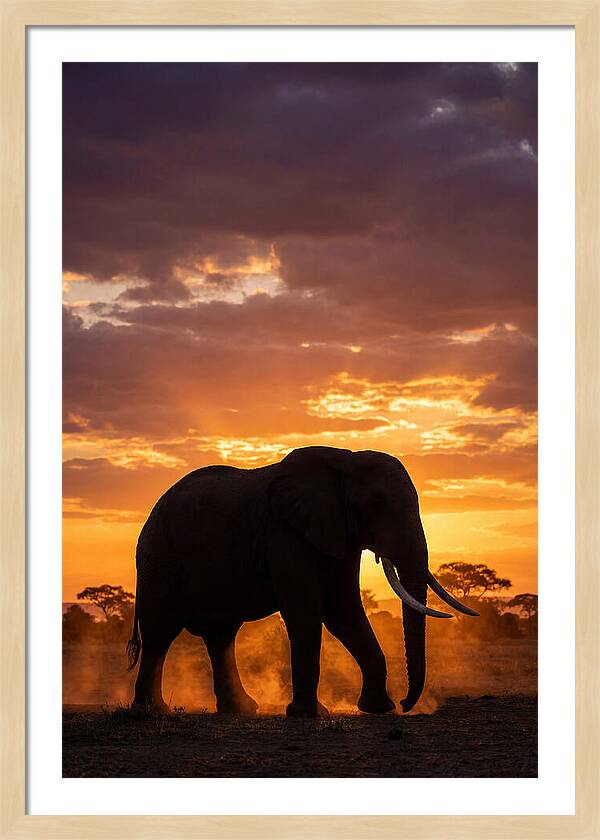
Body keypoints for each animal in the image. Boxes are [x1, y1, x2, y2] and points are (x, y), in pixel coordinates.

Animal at [127, 445, 478, 717]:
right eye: (376, 505)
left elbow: (343, 611)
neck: (345, 460)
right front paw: (308, 714)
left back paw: (241, 709)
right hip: (159, 556)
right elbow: (308, 612)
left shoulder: (338, 533)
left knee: (220, 636)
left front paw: (379, 709)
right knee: (160, 633)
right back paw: (151, 712)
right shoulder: (285, 532)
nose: (406, 703)